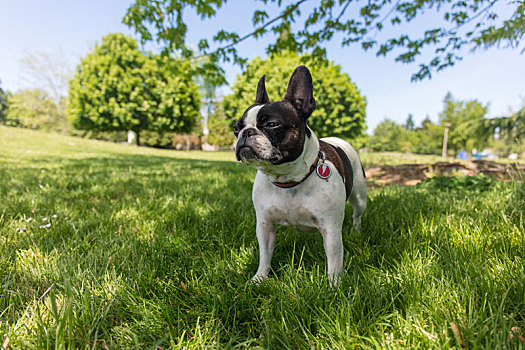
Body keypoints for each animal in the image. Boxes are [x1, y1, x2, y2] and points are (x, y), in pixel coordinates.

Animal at [233, 65, 368, 284]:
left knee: (357, 215)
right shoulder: (264, 225)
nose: (246, 133)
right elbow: (265, 255)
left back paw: (357, 232)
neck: (288, 179)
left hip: (360, 196)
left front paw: (334, 285)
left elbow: (334, 260)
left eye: (272, 124)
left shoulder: (331, 229)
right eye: (236, 128)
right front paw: (259, 278)